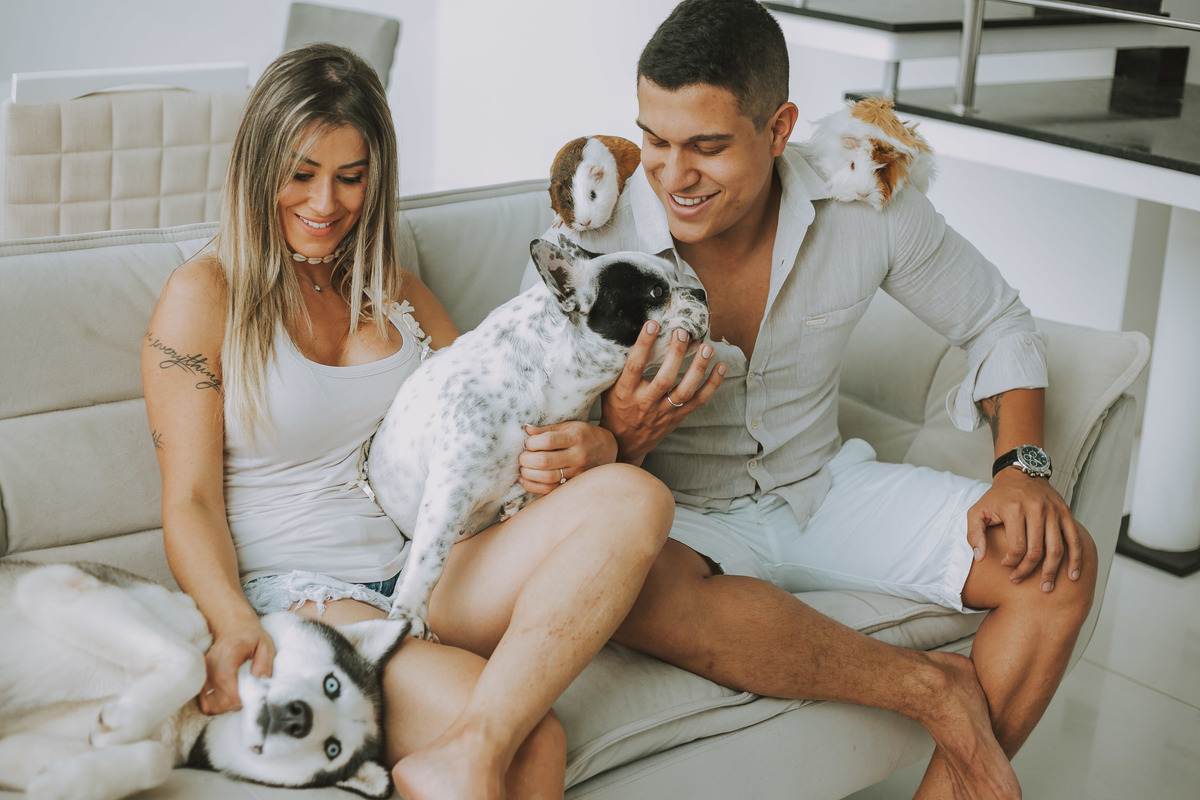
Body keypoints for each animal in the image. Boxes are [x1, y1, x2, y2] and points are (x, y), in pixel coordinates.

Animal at [0, 560, 408, 800]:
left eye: (333, 749)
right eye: (332, 685)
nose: (299, 717)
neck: (189, 713)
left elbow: (156, 760)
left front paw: (62, 783)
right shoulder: (59, 583)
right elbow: (191, 660)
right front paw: (127, 720)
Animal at [366, 235, 709, 639]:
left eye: (677, 277)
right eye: (656, 291)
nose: (700, 292)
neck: (550, 378)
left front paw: (520, 498)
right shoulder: (448, 491)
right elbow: (430, 555)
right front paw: (410, 612)